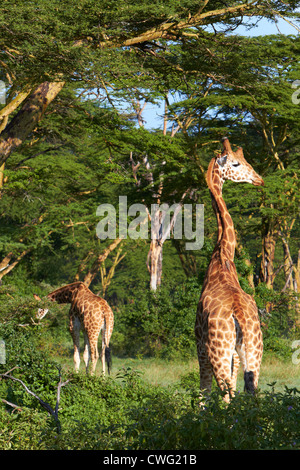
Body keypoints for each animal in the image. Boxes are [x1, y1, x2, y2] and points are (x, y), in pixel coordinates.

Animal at [195, 138, 262, 402]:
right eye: (236, 163)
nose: (259, 179)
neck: (223, 256)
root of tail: (239, 315)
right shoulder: (234, 352)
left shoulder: (200, 347)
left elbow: (203, 394)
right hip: (254, 351)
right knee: (252, 390)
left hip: (219, 352)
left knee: (225, 394)